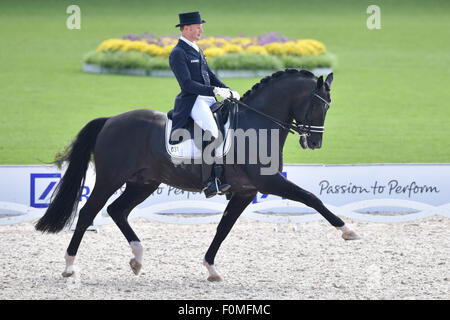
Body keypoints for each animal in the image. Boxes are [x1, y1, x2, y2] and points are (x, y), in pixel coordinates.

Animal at [35, 69, 358, 280]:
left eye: (328, 106)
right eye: (318, 104)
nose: (313, 143)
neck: (256, 124)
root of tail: (111, 120)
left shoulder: (246, 191)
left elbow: (223, 228)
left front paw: (211, 268)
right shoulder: (268, 181)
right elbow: (312, 198)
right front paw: (347, 231)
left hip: (144, 183)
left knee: (118, 210)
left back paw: (137, 259)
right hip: (109, 179)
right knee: (88, 213)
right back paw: (69, 266)